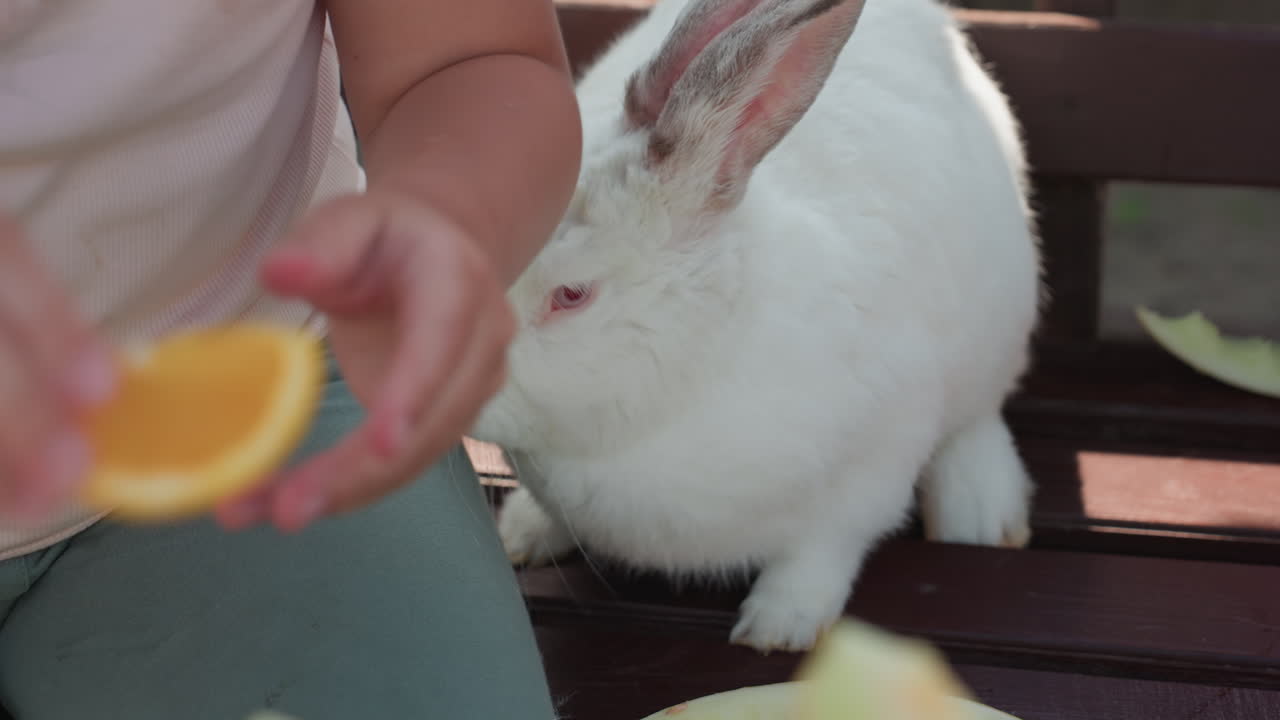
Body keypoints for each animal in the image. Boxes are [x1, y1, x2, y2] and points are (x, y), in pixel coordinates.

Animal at [469, 0, 1041, 654]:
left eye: (572, 295)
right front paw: (529, 529)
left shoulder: (868, 477)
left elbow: (820, 555)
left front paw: (778, 629)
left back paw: (984, 513)